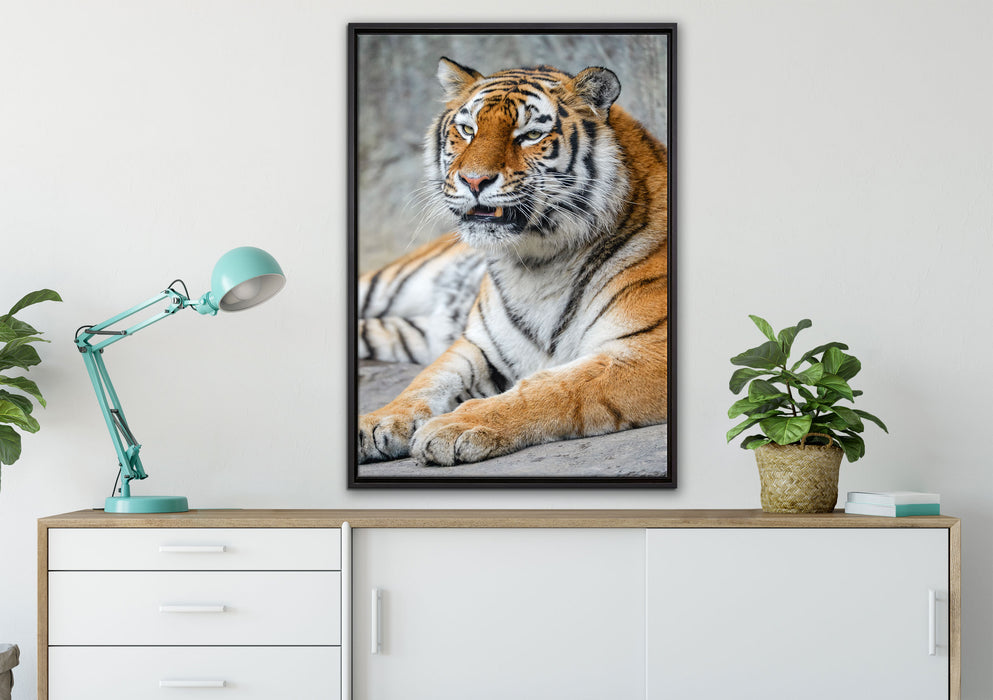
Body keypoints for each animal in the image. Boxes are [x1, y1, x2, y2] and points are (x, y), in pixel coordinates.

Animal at [358, 57, 668, 467]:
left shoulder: (649, 351)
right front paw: (377, 421)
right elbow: (427, 380)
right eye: (467, 130)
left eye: (530, 135)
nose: (473, 180)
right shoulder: (478, 345)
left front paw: (454, 426)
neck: (539, 262)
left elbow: (555, 387)